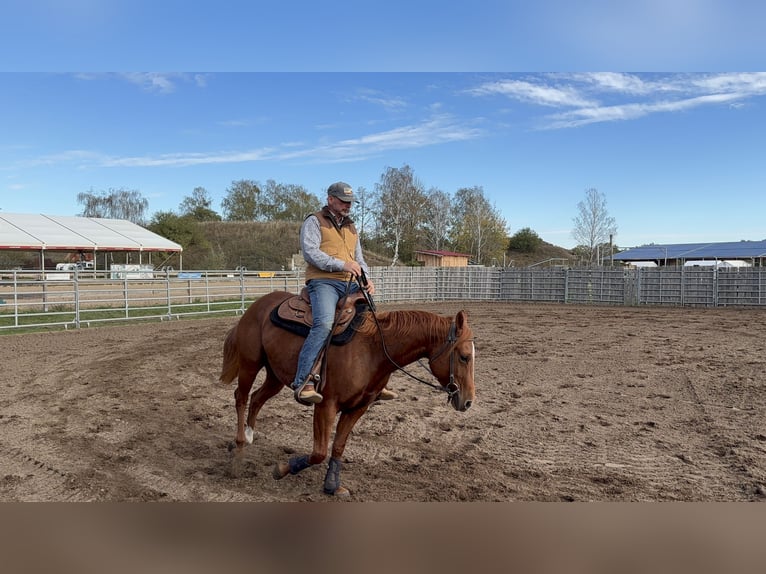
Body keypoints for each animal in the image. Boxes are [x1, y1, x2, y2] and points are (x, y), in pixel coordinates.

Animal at [218, 290, 476, 497]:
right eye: (464, 356)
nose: (468, 402)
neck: (373, 350)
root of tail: (257, 305)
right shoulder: (326, 405)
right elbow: (319, 452)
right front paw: (282, 469)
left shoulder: (357, 407)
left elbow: (338, 446)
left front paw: (332, 485)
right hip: (250, 364)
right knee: (241, 397)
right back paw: (238, 449)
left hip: (276, 376)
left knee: (257, 398)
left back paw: (249, 436)